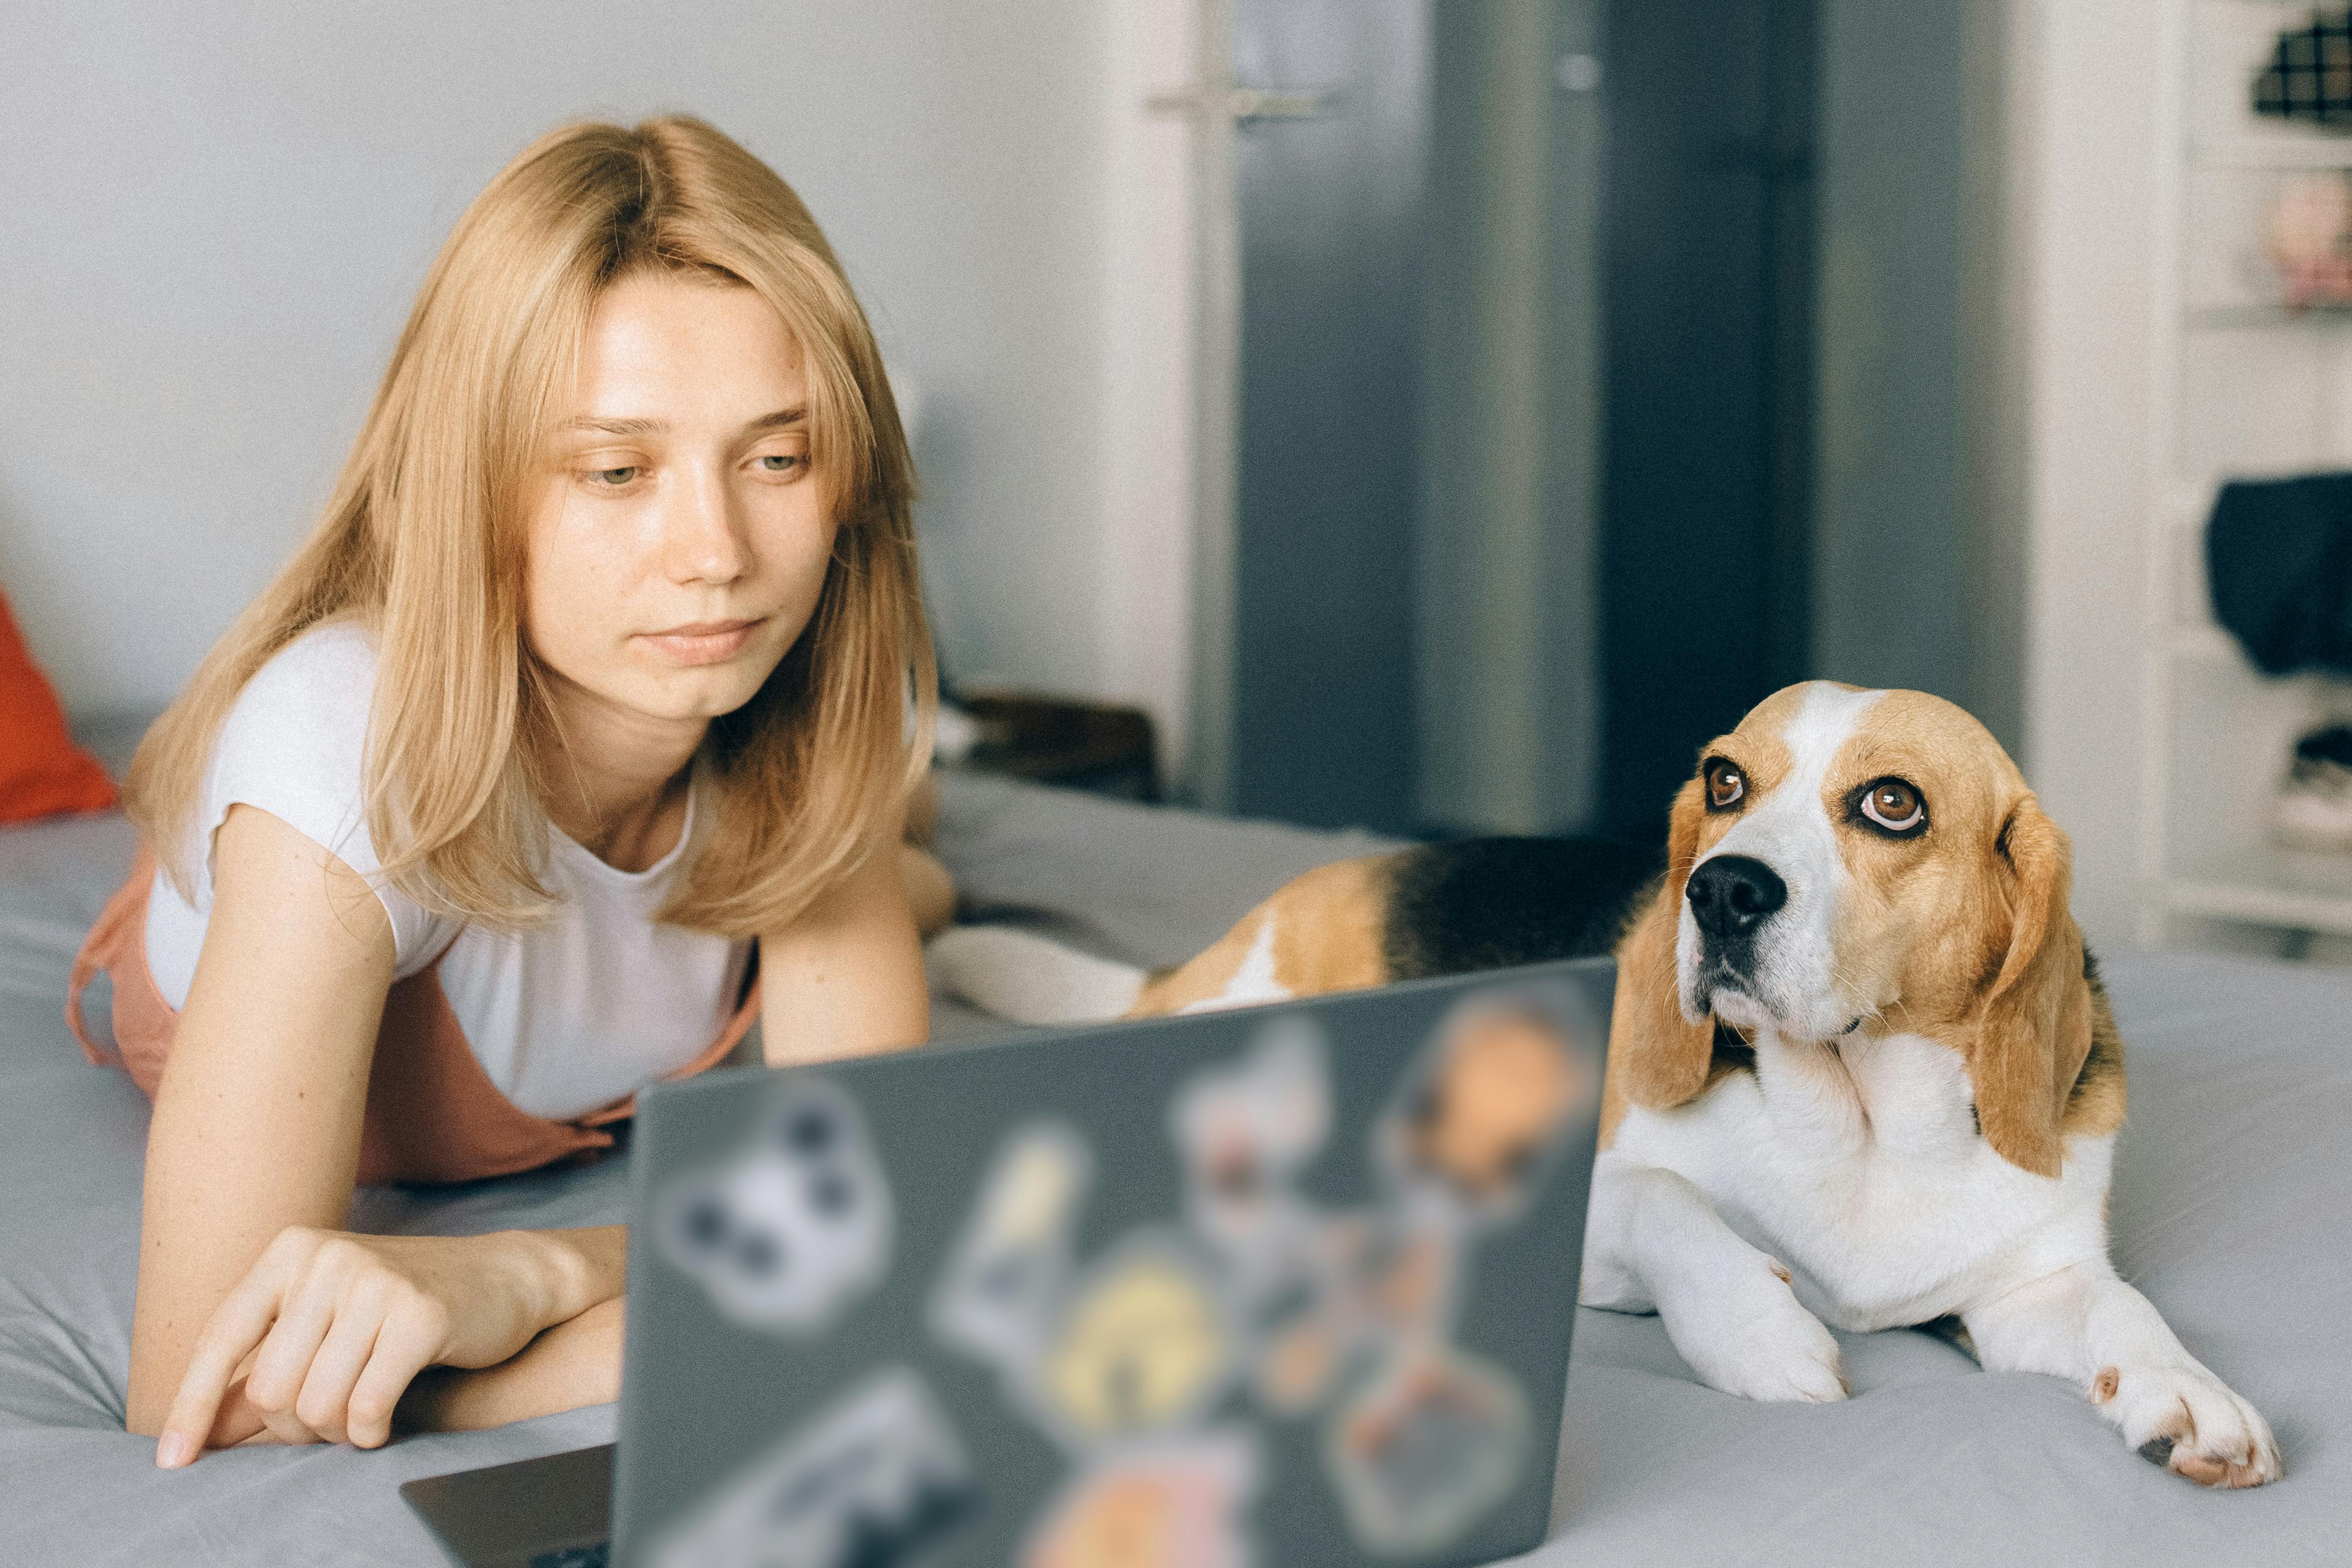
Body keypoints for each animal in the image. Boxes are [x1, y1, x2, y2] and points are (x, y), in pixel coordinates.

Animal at [931, 681, 2277, 1485]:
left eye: (1892, 802)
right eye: (1726, 781)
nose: (1721, 889)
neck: (1857, 1125)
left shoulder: (2023, 1287)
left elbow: (2123, 1311)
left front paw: (2191, 1391)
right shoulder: (1584, 1211)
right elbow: (1661, 1200)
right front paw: (1759, 1328)